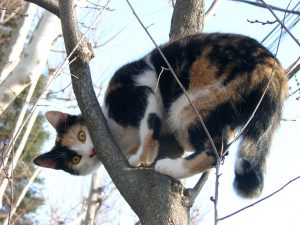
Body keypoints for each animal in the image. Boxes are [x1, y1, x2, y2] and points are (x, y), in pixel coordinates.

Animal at [33, 32, 288, 198]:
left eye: (82, 136)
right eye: (75, 159)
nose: (90, 151)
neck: (121, 137)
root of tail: (273, 67)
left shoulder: (140, 87)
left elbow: (149, 123)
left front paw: (142, 158)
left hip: (187, 104)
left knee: (217, 149)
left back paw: (168, 167)